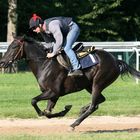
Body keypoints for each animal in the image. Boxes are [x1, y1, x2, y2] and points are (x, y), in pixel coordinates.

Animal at [0, 33, 140, 129]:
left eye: (14, 46)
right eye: (9, 46)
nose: (2, 62)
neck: (45, 63)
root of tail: (116, 60)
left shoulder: (53, 92)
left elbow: (34, 101)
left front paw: (63, 110)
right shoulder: (53, 95)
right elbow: (47, 113)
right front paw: (64, 110)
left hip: (98, 83)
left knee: (94, 105)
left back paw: (74, 123)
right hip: (89, 86)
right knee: (100, 100)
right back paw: (82, 109)